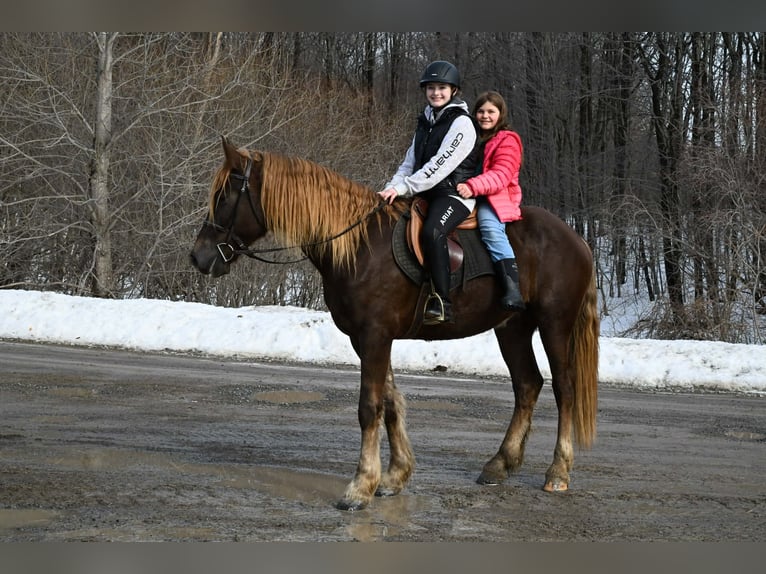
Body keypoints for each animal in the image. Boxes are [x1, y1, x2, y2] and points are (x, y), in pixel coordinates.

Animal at [190, 137, 599, 511]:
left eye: (225, 196)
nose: (198, 257)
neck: (359, 246)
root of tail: (577, 239)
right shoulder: (366, 339)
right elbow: (389, 402)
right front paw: (395, 475)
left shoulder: (375, 335)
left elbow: (368, 407)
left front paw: (360, 486)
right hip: (511, 327)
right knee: (527, 385)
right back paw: (500, 464)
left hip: (554, 323)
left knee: (564, 388)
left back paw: (558, 471)